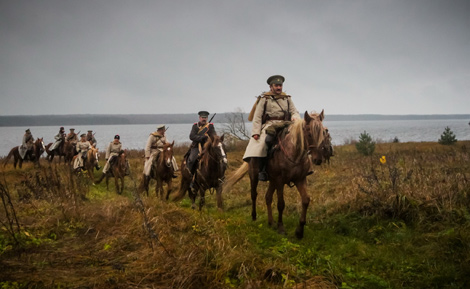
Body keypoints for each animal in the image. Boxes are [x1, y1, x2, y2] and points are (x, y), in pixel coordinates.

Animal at [222, 110, 324, 238]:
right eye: (309, 134)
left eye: (323, 133)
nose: (318, 159)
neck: (294, 154)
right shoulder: (280, 181)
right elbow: (281, 204)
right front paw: (281, 227)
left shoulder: (300, 179)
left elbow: (305, 200)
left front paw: (299, 231)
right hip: (254, 176)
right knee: (254, 195)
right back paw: (254, 216)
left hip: (272, 181)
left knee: (268, 197)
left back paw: (271, 222)